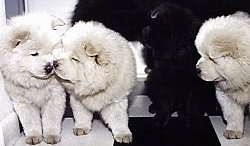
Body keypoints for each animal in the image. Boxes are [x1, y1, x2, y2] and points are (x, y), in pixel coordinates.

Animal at [0, 12, 66, 145]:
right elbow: (30, 122)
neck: (35, 83)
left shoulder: (55, 97)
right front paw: (34, 137)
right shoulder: (23, 102)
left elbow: (51, 119)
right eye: (34, 54)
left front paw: (51, 136)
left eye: (52, 51)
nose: (50, 66)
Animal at [196, 11, 250, 139]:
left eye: (211, 58)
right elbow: (233, 113)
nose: (197, 69)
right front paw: (233, 131)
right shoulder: (226, 93)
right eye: (201, 54)